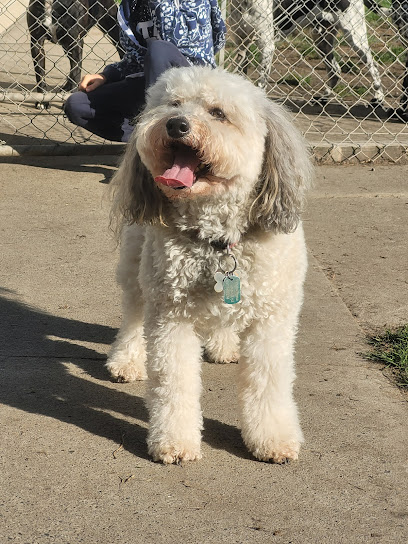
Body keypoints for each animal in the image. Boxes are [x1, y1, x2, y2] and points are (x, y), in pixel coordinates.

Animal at [105, 63, 312, 464]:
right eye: (173, 104)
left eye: (218, 113)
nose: (176, 125)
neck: (218, 241)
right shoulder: (171, 316)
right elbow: (174, 383)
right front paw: (174, 440)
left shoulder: (272, 319)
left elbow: (268, 382)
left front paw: (274, 437)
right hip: (137, 266)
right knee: (133, 312)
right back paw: (127, 359)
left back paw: (223, 345)